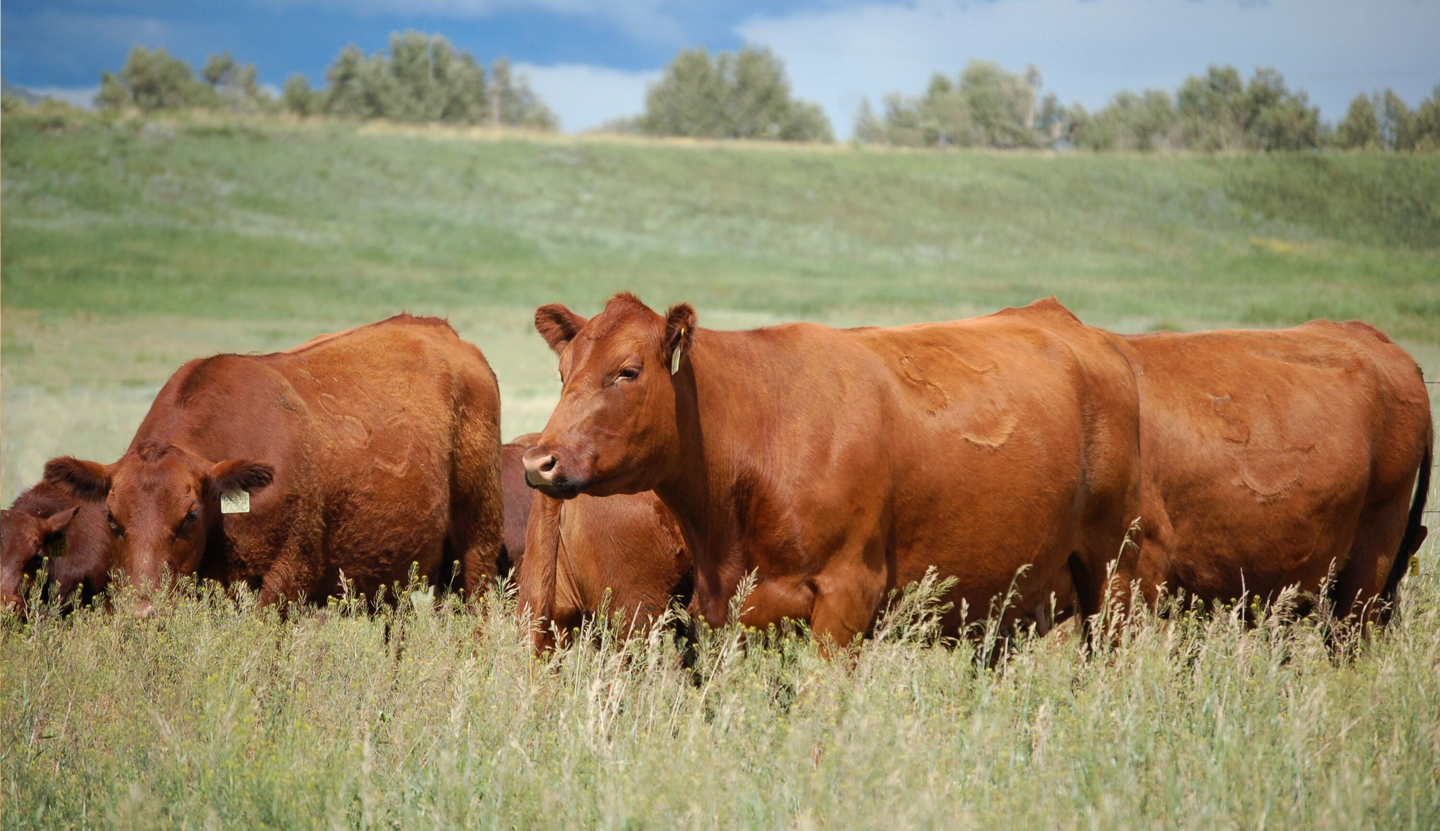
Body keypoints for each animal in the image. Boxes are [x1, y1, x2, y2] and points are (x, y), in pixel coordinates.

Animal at [43, 313, 506, 604]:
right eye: (111, 518)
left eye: (190, 515)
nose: (142, 610)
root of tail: (445, 333)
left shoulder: (286, 576)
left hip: (477, 548)